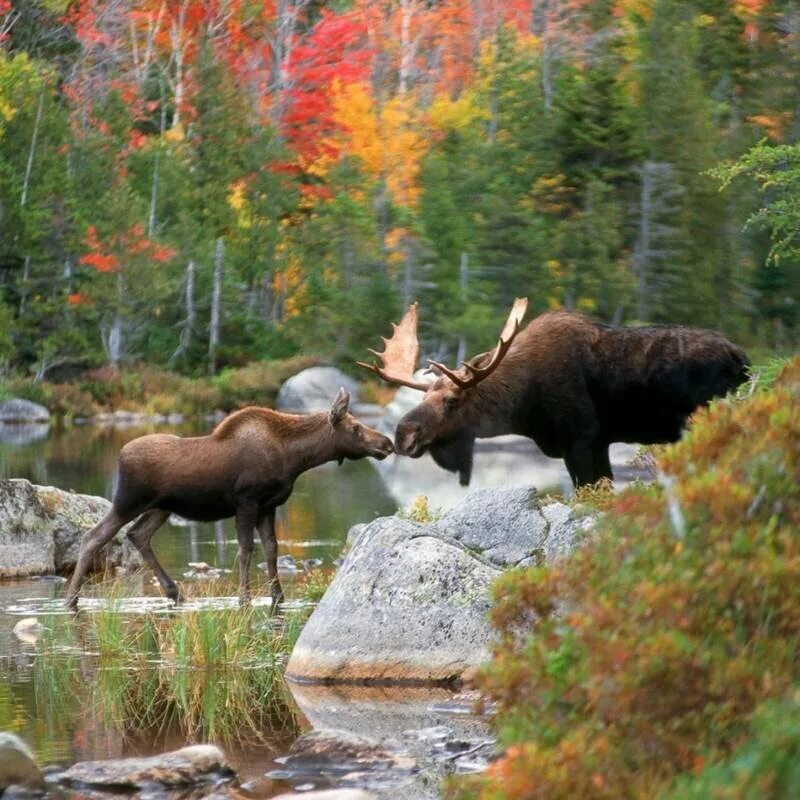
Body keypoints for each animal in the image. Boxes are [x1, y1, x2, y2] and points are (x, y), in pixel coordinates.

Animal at [65, 390, 394, 608]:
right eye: (355, 427)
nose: (387, 443)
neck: (294, 458)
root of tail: (120, 456)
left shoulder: (269, 505)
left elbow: (272, 549)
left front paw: (278, 595)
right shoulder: (246, 501)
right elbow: (247, 549)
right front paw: (244, 597)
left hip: (161, 507)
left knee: (138, 534)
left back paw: (175, 592)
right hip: (129, 500)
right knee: (94, 536)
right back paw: (71, 598)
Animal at [360, 300, 752, 488]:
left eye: (452, 401)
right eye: (423, 398)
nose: (403, 434)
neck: (524, 408)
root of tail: (742, 358)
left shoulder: (579, 440)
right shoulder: (599, 443)